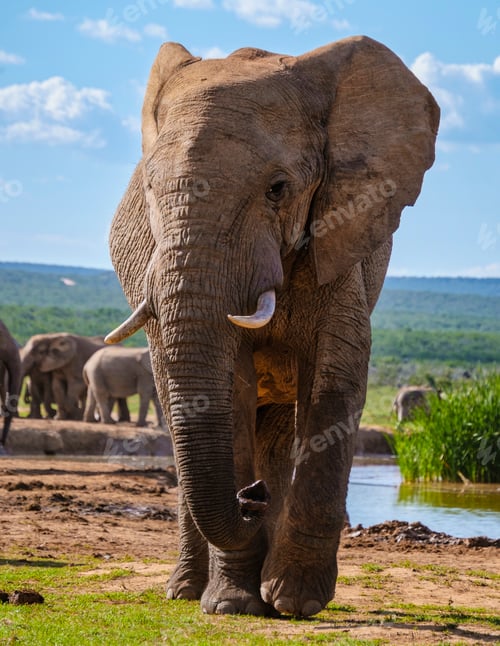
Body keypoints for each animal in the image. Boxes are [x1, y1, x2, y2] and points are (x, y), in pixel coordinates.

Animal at [105, 36, 439, 618]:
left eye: (278, 189)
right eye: (148, 190)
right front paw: (231, 605)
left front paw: (294, 602)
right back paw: (187, 590)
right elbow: (231, 392)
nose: (250, 497)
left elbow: (335, 379)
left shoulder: (340, 232)